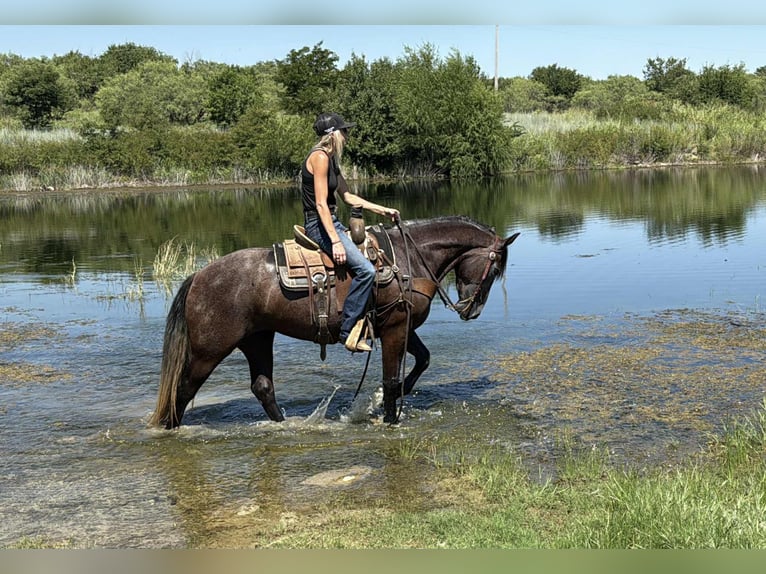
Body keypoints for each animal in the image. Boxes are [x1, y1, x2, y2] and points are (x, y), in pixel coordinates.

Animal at [149, 216, 520, 429]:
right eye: (494, 269)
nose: (471, 310)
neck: (408, 258)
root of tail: (198, 276)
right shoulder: (395, 328)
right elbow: (389, 379)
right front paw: (389, 418)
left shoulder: (400, 327)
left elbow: (423, 360)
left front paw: (394, 394)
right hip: (209, 351)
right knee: (183, 389)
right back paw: (170, 427)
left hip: (257, 339)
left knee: (263, 387)